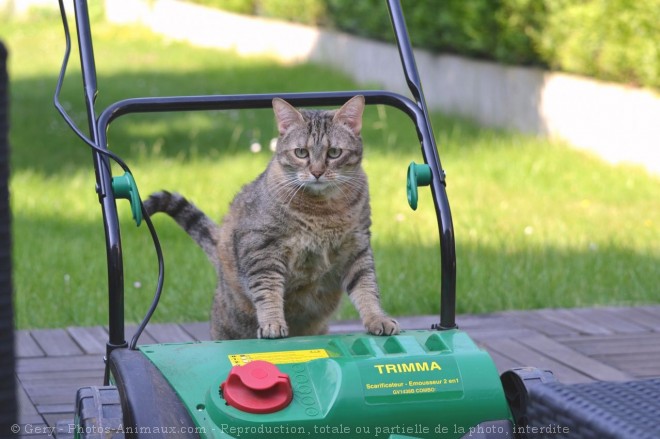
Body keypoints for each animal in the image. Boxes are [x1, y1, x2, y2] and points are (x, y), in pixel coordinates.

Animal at [145, 96, 400, 340]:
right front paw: (272, 324)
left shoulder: (357, 245)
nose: (317, 172)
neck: (323, 211)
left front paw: (378, 319)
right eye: (301, 152)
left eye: (334, 152)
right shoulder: (261, 248)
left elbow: (366, 287)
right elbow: (268, 291)